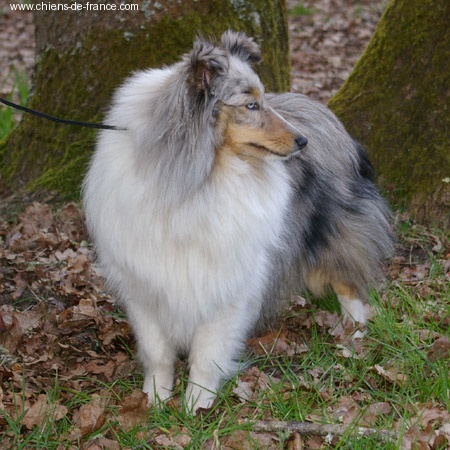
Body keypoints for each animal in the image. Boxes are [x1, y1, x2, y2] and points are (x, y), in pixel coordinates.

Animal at [82, 29, 392, 414]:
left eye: (260, 100)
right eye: (251, 105)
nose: (302, 141)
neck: (198, 182)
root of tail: (326, 115)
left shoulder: (225, 283)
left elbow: (207, 352)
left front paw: (196, 405)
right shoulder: (144, 286)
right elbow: (157, 351)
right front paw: (155, 399)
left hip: (333, 230)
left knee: (349, 281)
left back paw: (353, 334)